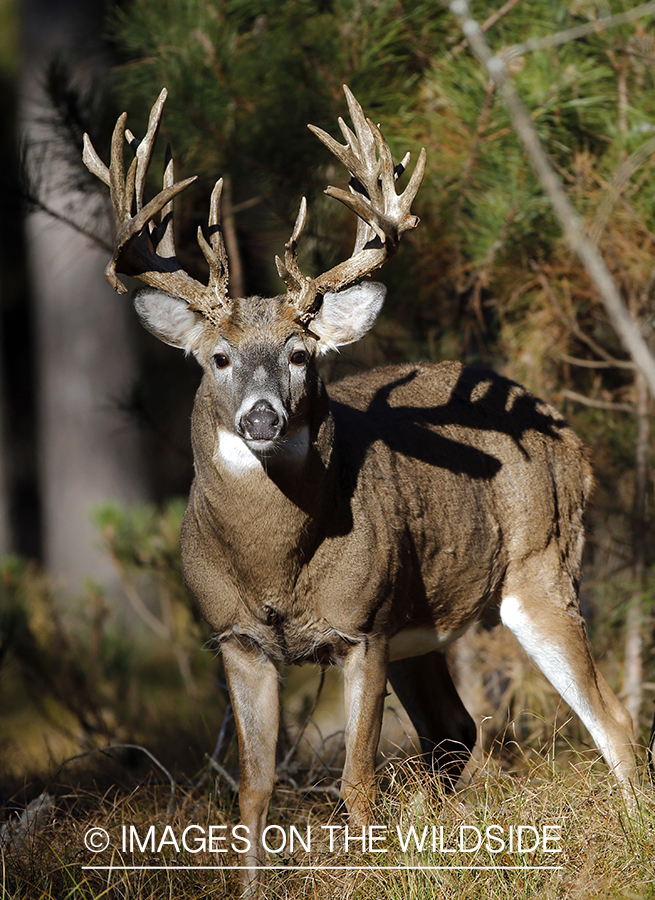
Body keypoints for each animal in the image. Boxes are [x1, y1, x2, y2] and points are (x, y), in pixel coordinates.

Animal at [82, 88, 636, 888]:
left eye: (300, 354)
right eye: (217, 357)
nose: (261, 415)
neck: (277, 566)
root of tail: (572, 440)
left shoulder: (362, 629)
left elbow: (356, 779)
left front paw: (369, 865)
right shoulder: (236, 639)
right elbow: (253, 789)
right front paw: (252, 888)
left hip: (540, 564)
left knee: (610, 719)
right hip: (425, 620)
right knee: (452, 731)